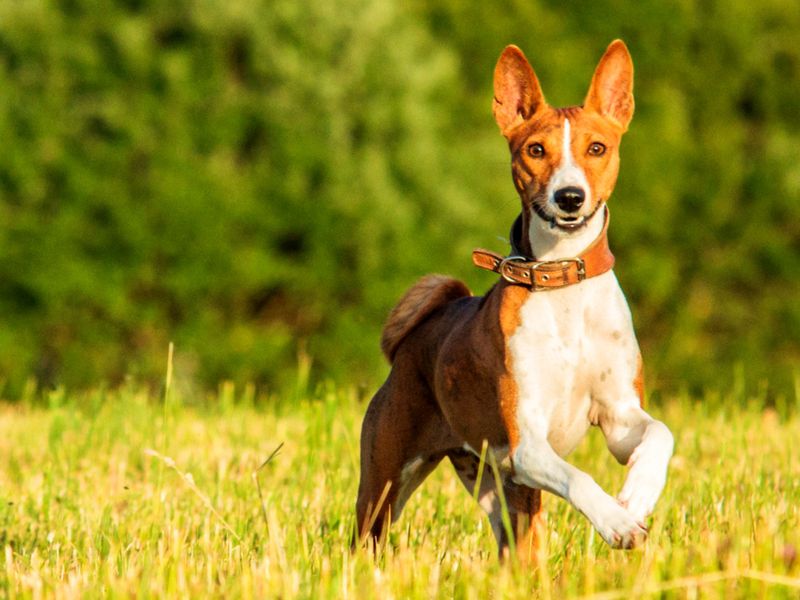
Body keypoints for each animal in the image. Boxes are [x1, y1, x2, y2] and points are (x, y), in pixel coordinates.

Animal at [356, 39, 676, 560]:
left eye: (597, 148)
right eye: (536, 150)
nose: (570, 196)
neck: (562, 284)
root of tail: (418, 336)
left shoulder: (619, 418)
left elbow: (660, 434)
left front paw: (637, 495)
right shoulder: (527, 443)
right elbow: (579, 478)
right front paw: (616, 522)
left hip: (500, 490)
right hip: (386, 484)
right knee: (365, 539)